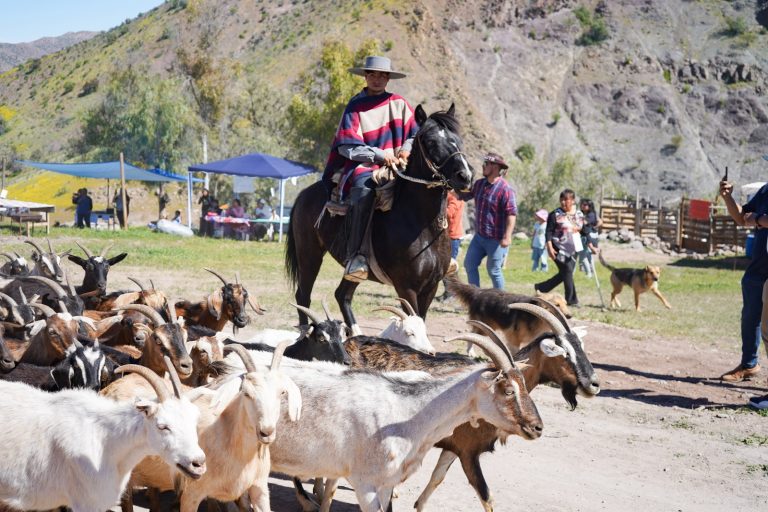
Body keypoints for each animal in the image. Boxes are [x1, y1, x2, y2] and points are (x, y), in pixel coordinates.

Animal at [219, 334, 544, 512]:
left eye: (525, 384)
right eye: (508, 390)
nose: (537, 427)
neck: (408, 411)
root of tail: (225, 368)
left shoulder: (387, 483)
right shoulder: (365, 483)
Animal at [284, 104, 472, 332]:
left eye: (458, 139)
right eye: (430, 141)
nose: (465, 176)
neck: (423, 226)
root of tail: (304, 194)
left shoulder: (431, 286)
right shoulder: (406, 287)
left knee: (342, 295)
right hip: (309, 255)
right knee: (303, 296)